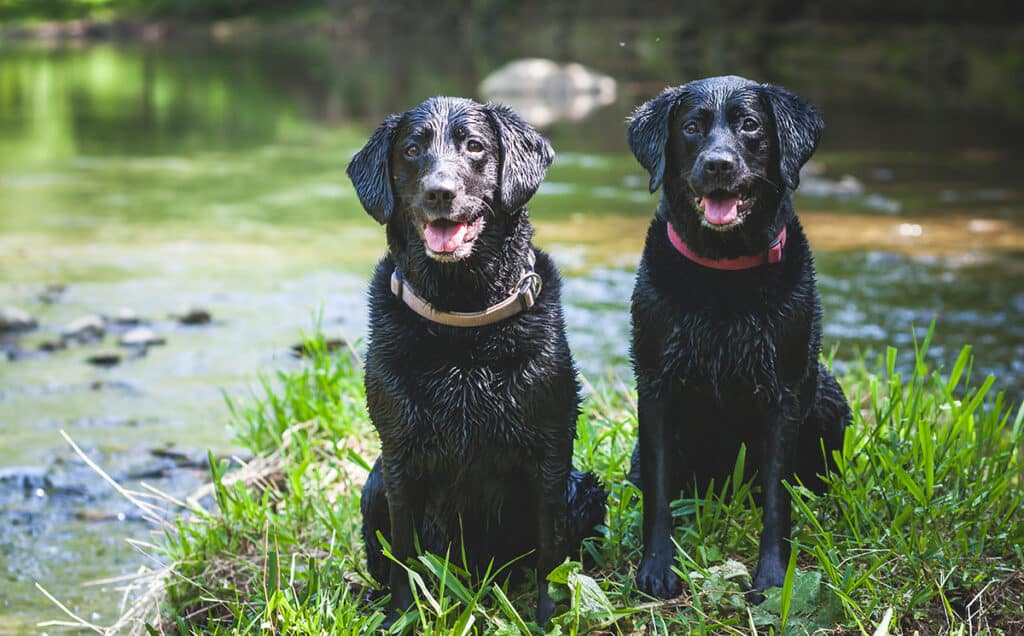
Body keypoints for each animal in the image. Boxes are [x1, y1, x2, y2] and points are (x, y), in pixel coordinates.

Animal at [350, 96, 606, 626]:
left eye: (473, 146)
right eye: (411, 150)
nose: (439, 192)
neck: (462, 320)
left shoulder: (550, 454)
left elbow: (552, 559)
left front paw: (548, 619)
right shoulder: (399, 456)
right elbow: (403, 555)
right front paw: (401, 617)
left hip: (585, 490)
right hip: (374, 487)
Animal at [626, 75, 851, 602]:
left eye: (749, 125)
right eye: (692, 127)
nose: (718, 164)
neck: (723, 273)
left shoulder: (785, 393)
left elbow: (777, 502)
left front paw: (771, 578)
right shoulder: (655, 387)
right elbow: (659, 496)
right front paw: (656, 568)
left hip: (828, 397)